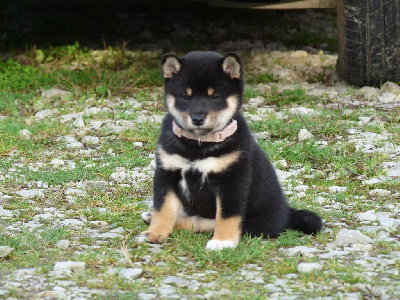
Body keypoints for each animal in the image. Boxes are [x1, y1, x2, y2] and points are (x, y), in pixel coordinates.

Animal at [141, 51, 322, 251]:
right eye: (186, 96)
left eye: (215, 97)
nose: (198, 119)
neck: (198, 145)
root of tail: (288, 214)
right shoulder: (166, 173)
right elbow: (162, 208)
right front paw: (156, 232)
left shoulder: (232, 181)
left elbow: (227, 216)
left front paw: (223, 241)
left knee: (204, 222)